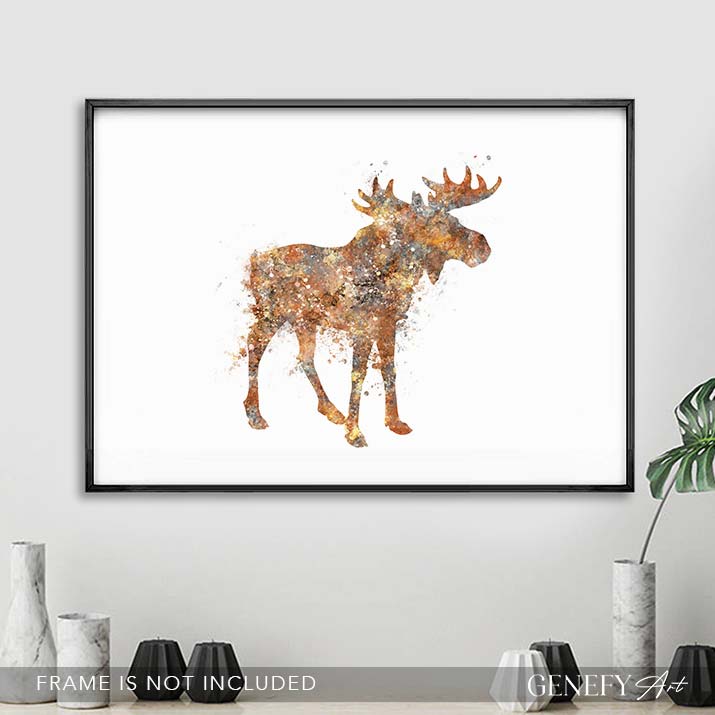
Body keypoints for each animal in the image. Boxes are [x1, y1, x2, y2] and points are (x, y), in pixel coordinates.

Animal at [243, 166, 501, 447]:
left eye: (455, 219)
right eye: (439, 223)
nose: (483, 246)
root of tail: (253, 263)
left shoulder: (389, 323)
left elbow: (389, 369)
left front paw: (395, 422)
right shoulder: (362, 327)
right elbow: (359, 374)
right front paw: (355, 432)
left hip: (305, 320)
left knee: (304, 358)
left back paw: (331, 410)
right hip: (272, 314)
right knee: (253, 344)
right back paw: (255, 415)